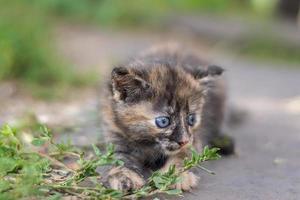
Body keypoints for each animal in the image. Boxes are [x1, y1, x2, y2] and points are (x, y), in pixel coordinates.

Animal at [99, 45, 233, 192]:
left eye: (191, 119)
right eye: (163, 121)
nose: (184, 141)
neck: (148, 144)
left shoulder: (194, 139)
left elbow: (183, 154)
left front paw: (175, 175)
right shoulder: (115, 131)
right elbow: (118, 156)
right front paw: (123, 175)